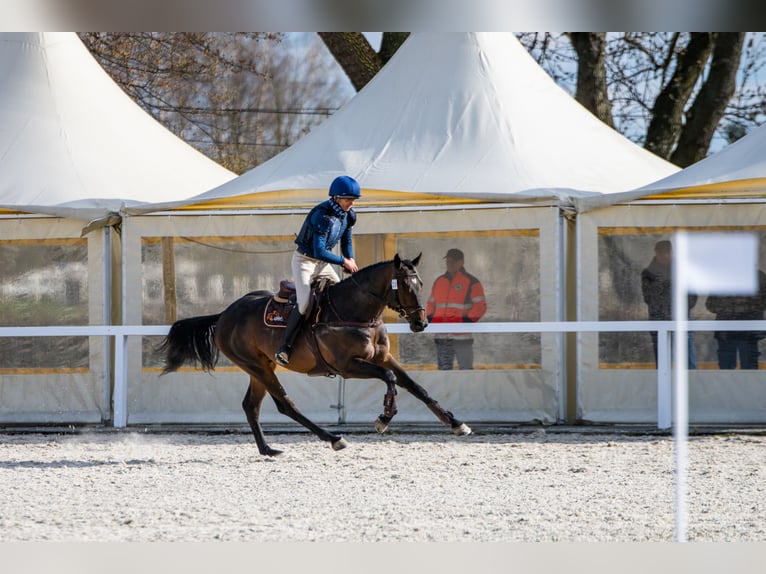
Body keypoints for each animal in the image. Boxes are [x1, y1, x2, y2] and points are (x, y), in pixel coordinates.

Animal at [159, 253, 472, 456]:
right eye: (405, 285)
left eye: (421, 284)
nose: (421, 323)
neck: (355, 312)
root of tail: (225, 313)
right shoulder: (347, 366)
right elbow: (390, 378)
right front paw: (384, 417)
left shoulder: (381, 357)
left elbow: (415, 386)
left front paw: (456, 423)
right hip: (258, 367)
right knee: (285, 405)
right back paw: (332, 438)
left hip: (260, 366)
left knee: (251, 406)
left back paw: (267, 449)